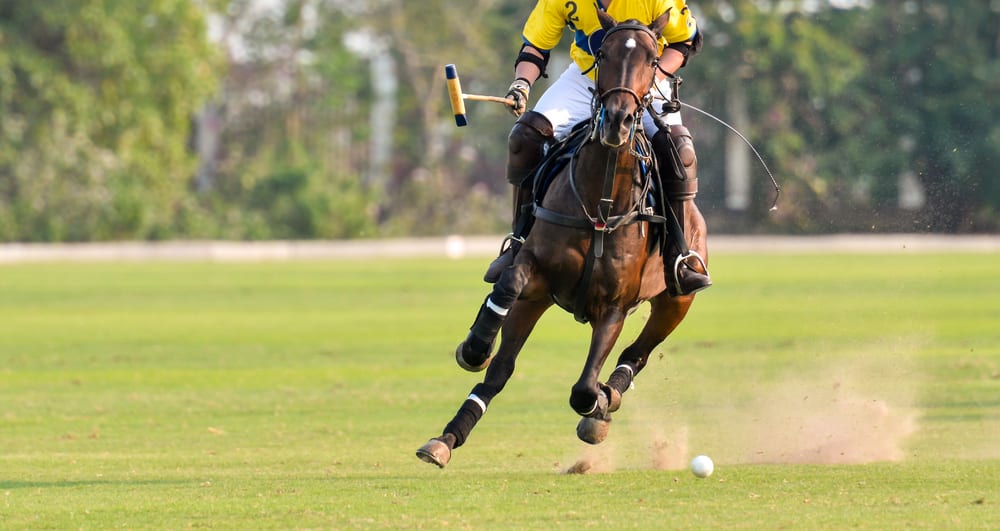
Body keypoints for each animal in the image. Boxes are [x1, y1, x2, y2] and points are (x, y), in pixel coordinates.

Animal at [418, 11, 708, 470]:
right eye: (602, 53)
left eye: (651, 59)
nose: (618, 120)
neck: (600, 203)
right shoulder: (534, 273)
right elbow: (508, 286)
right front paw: (475, 344)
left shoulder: (615, 306)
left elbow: (585, 389)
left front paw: (601, 406)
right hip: (538, 300)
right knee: (501, 367)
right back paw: (446, 437)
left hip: (676, 300)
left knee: (637, 354)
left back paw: (610, 397)